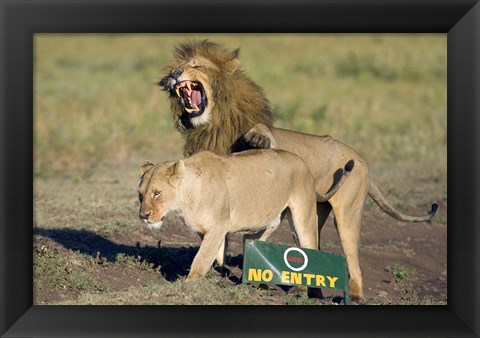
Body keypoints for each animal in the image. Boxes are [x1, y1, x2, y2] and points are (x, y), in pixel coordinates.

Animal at [137, 150, 350, 280]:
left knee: (310, 246)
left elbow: (201, 258)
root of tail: (302, 162)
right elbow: (216, 253)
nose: (143, 216)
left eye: (157, 193)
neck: (185, 201)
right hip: (261, 226)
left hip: (303, 218)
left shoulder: (218, 226)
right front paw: (218, 270)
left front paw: (188, 282)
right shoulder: (207, 230)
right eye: (140, 194)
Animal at [159, 39, 436, 298]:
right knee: (312, 250)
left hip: (346, 215)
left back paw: (352, 296)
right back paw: (311, 290)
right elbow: (221, 239)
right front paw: (218, 267)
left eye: (196, 65)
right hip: (311, 212)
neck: (213, 126)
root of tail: (361, 158)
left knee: (353, 262)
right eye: (177, 67)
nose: (174, 74)